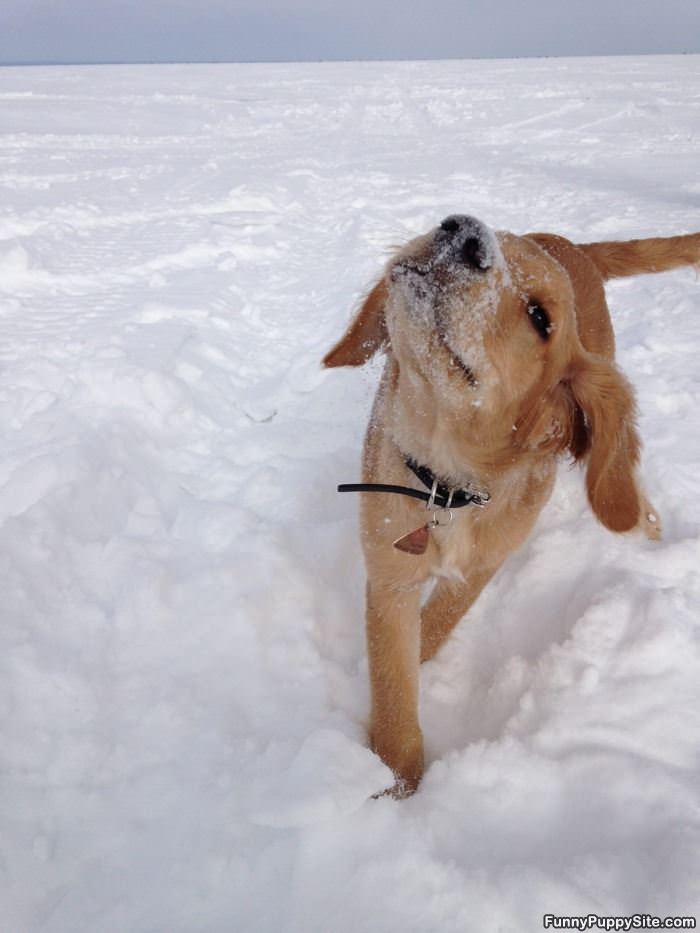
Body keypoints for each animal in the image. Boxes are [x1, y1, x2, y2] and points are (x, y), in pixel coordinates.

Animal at [324, 217, 700, 792]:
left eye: (540, 318)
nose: (462, 229)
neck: (449, 480)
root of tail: (570, 244)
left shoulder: (487, 560)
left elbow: (440, 620)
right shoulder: (390, 570)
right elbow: (393, 688)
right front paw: (393, 783)